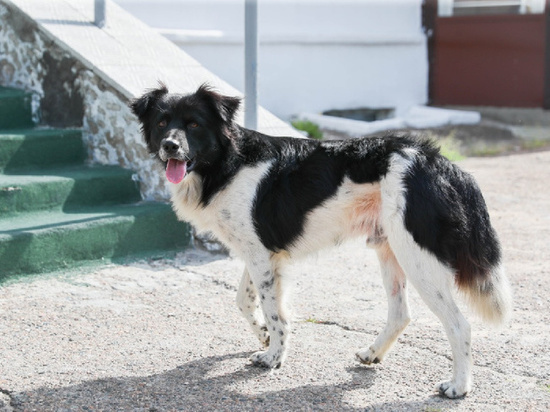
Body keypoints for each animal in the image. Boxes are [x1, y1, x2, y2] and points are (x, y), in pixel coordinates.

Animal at [132, 84, 516, 400]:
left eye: (194, 124)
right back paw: (372, 354)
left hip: (418, 258)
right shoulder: (259, 252)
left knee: (459, 324)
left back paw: (459, 387)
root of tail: (439, 162)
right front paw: (264, 337)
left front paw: (274, 357)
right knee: (401, 314)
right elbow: (244, 301)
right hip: (390, 251)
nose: (170, 146)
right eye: (163, 122)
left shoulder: (261, 256)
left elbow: (275, 311)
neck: (227, 163)